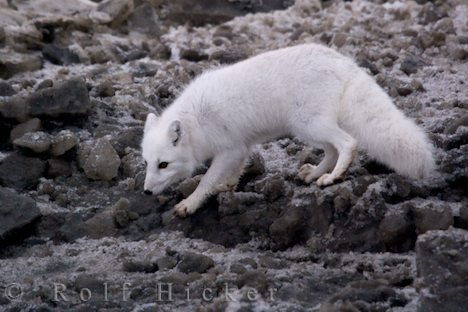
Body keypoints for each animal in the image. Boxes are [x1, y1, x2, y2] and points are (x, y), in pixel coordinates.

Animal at [140, 43, 436, 217]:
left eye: (164, 164)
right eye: (146, 163)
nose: (145, 192)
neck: (195, 121)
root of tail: (343, 61)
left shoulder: (229, 148)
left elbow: (206, 180)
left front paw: (190, 203)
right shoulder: (241, 147)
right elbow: (235, 170)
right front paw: (228, 185)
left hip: (308, 124)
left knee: (347, 143)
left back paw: (332, 178)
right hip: (307, 127)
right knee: (331, 149)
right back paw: (314, 173)